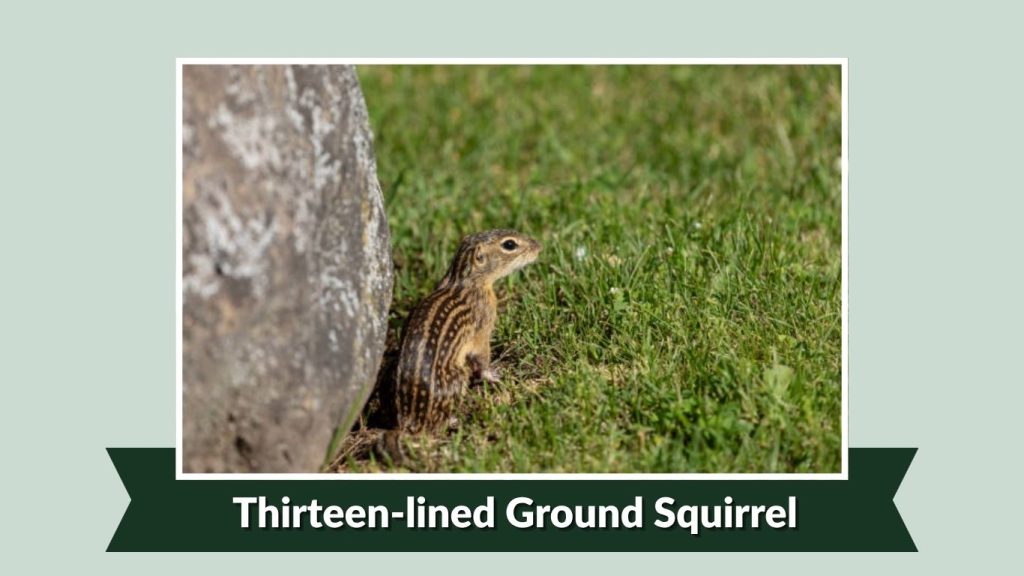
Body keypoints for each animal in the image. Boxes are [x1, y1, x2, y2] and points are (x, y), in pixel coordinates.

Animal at [390, 229, 542, 434]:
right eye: (509, 244)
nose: (539, 247)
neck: (464, 281)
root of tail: (410, 420)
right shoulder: (483, 328)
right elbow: (482, 358)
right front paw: (494, 374)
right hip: (458, 375)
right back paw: (455, 420)